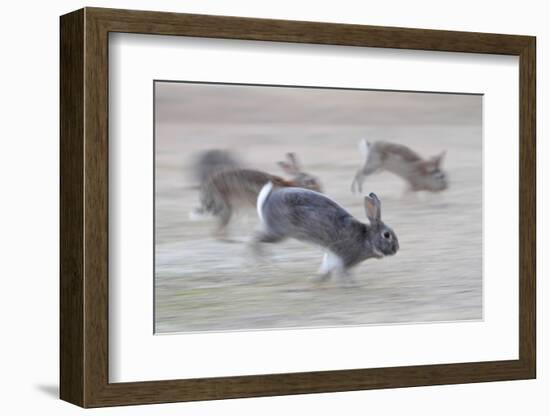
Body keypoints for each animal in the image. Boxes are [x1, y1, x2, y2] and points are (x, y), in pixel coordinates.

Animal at [254, 185, 402, 286]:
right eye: (387, 235)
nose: (396, 249)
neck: (367, 238)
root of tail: (266, 202)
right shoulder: (345, 259)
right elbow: (344, 273)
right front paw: (352, 286)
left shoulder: (333, 256)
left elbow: (327, 268)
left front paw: (317, 281)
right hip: (279, 232)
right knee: (254, 240)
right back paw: (259, 260)